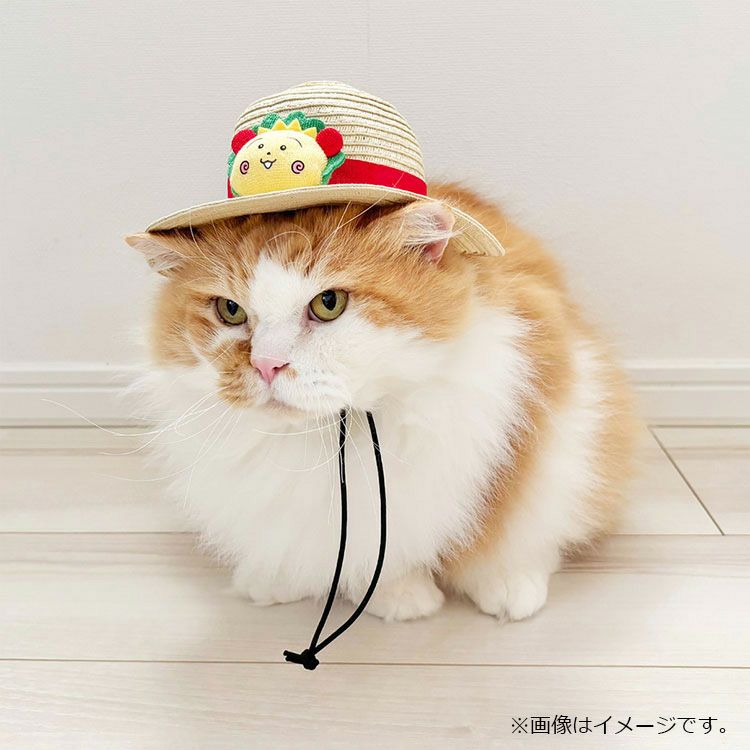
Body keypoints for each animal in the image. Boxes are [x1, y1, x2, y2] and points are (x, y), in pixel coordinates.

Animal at [126, 183, 638, 622]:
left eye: (329, 303)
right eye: (230, 311)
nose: (267, 365)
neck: (324, 441)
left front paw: (401, 599)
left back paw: (511, 586)